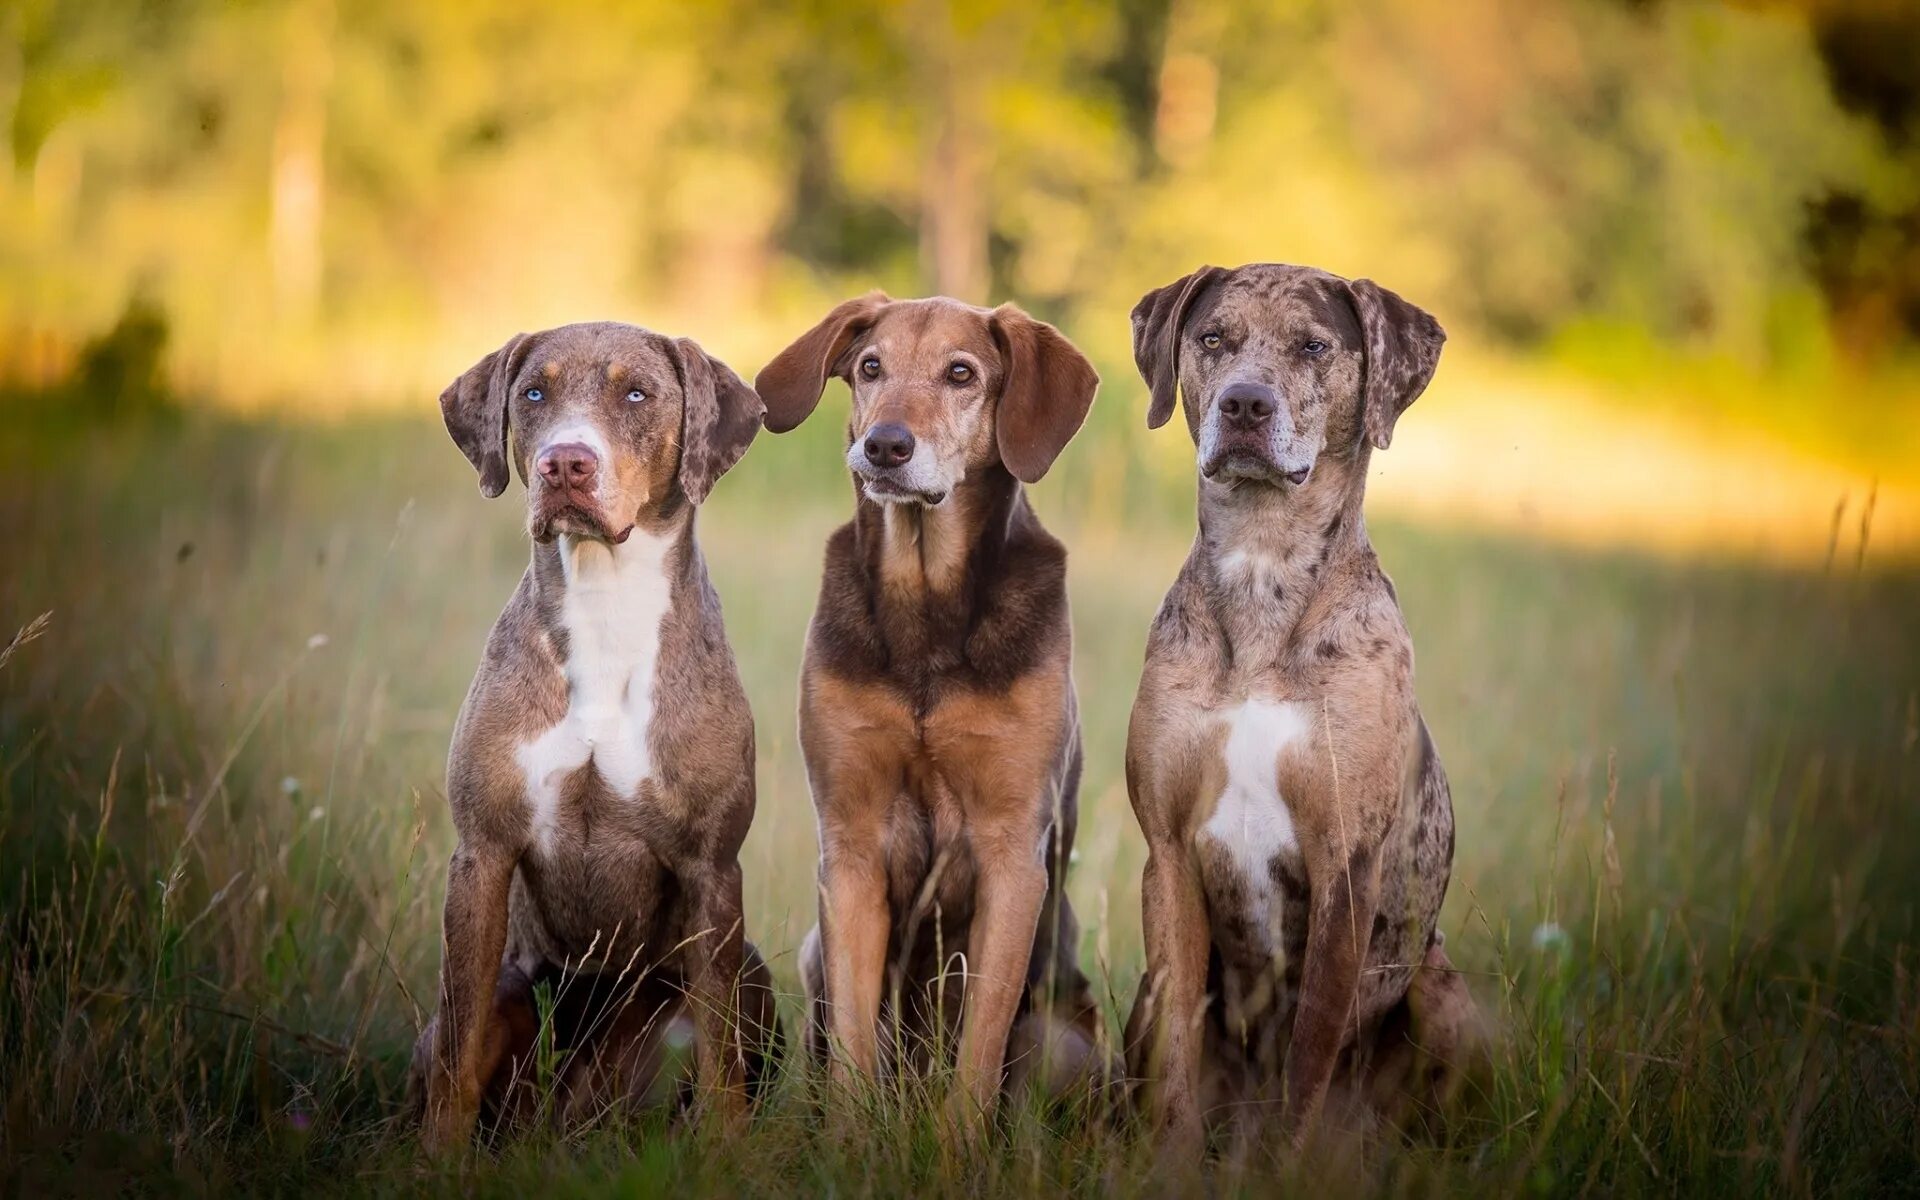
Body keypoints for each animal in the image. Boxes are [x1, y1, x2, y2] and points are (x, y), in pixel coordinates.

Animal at [418, 320, 779, 1152]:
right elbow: (459, 1036)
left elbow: (721, 1055)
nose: (564, 463)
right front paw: (437, 1158)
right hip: (514, 992)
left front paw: (729, 1151)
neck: (606, 600)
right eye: (532, 393)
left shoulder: (713, 869)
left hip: (750, 974)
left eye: (638, 393)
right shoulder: (481, 856)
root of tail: (572, 1115)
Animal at [752, 295, 1105, 1121]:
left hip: (1064, 1035)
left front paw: (959, 1144)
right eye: (870, 366)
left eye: (961, 373)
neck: (925, 607)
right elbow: (854, 1050)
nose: (884, 445)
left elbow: (978, 1053)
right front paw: (849, 1137)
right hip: (814, 959)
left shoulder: (1013, 852)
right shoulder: (850, 847)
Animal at [1121, 264, 1474, 1152]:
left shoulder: (1344, 865)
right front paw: (1172, 1162)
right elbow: (1177, 1055)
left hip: (1446, 992)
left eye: (1313, 346)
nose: (1245, 404)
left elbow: (1312, 1048)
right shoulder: (1168, 855)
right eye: (1213, 338)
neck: (1263, 570)